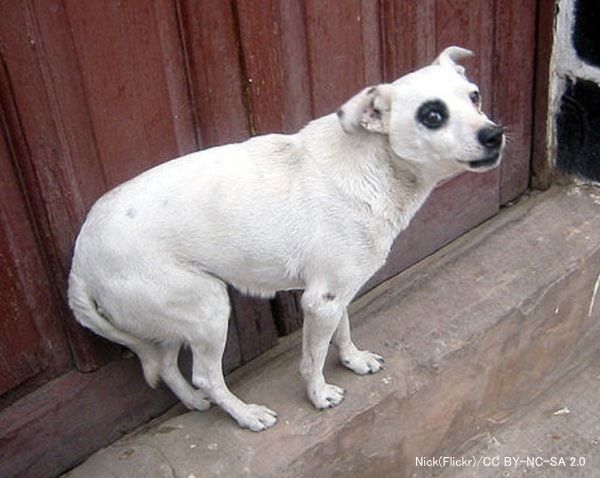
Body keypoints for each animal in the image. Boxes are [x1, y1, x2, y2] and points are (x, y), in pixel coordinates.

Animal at [68, 46, 504, 432]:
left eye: (475, 96)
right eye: (432, 115)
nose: (494, 134)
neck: (374, 163)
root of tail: (80, 261)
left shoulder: (336, 294)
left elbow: (343, 332)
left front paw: (353, 360)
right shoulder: (321, 301)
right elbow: (313, 359)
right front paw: (319, 395)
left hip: (174, 317)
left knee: (166, 365)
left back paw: (194, 402)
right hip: (208, 307)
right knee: (205, 375)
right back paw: (246, 415)